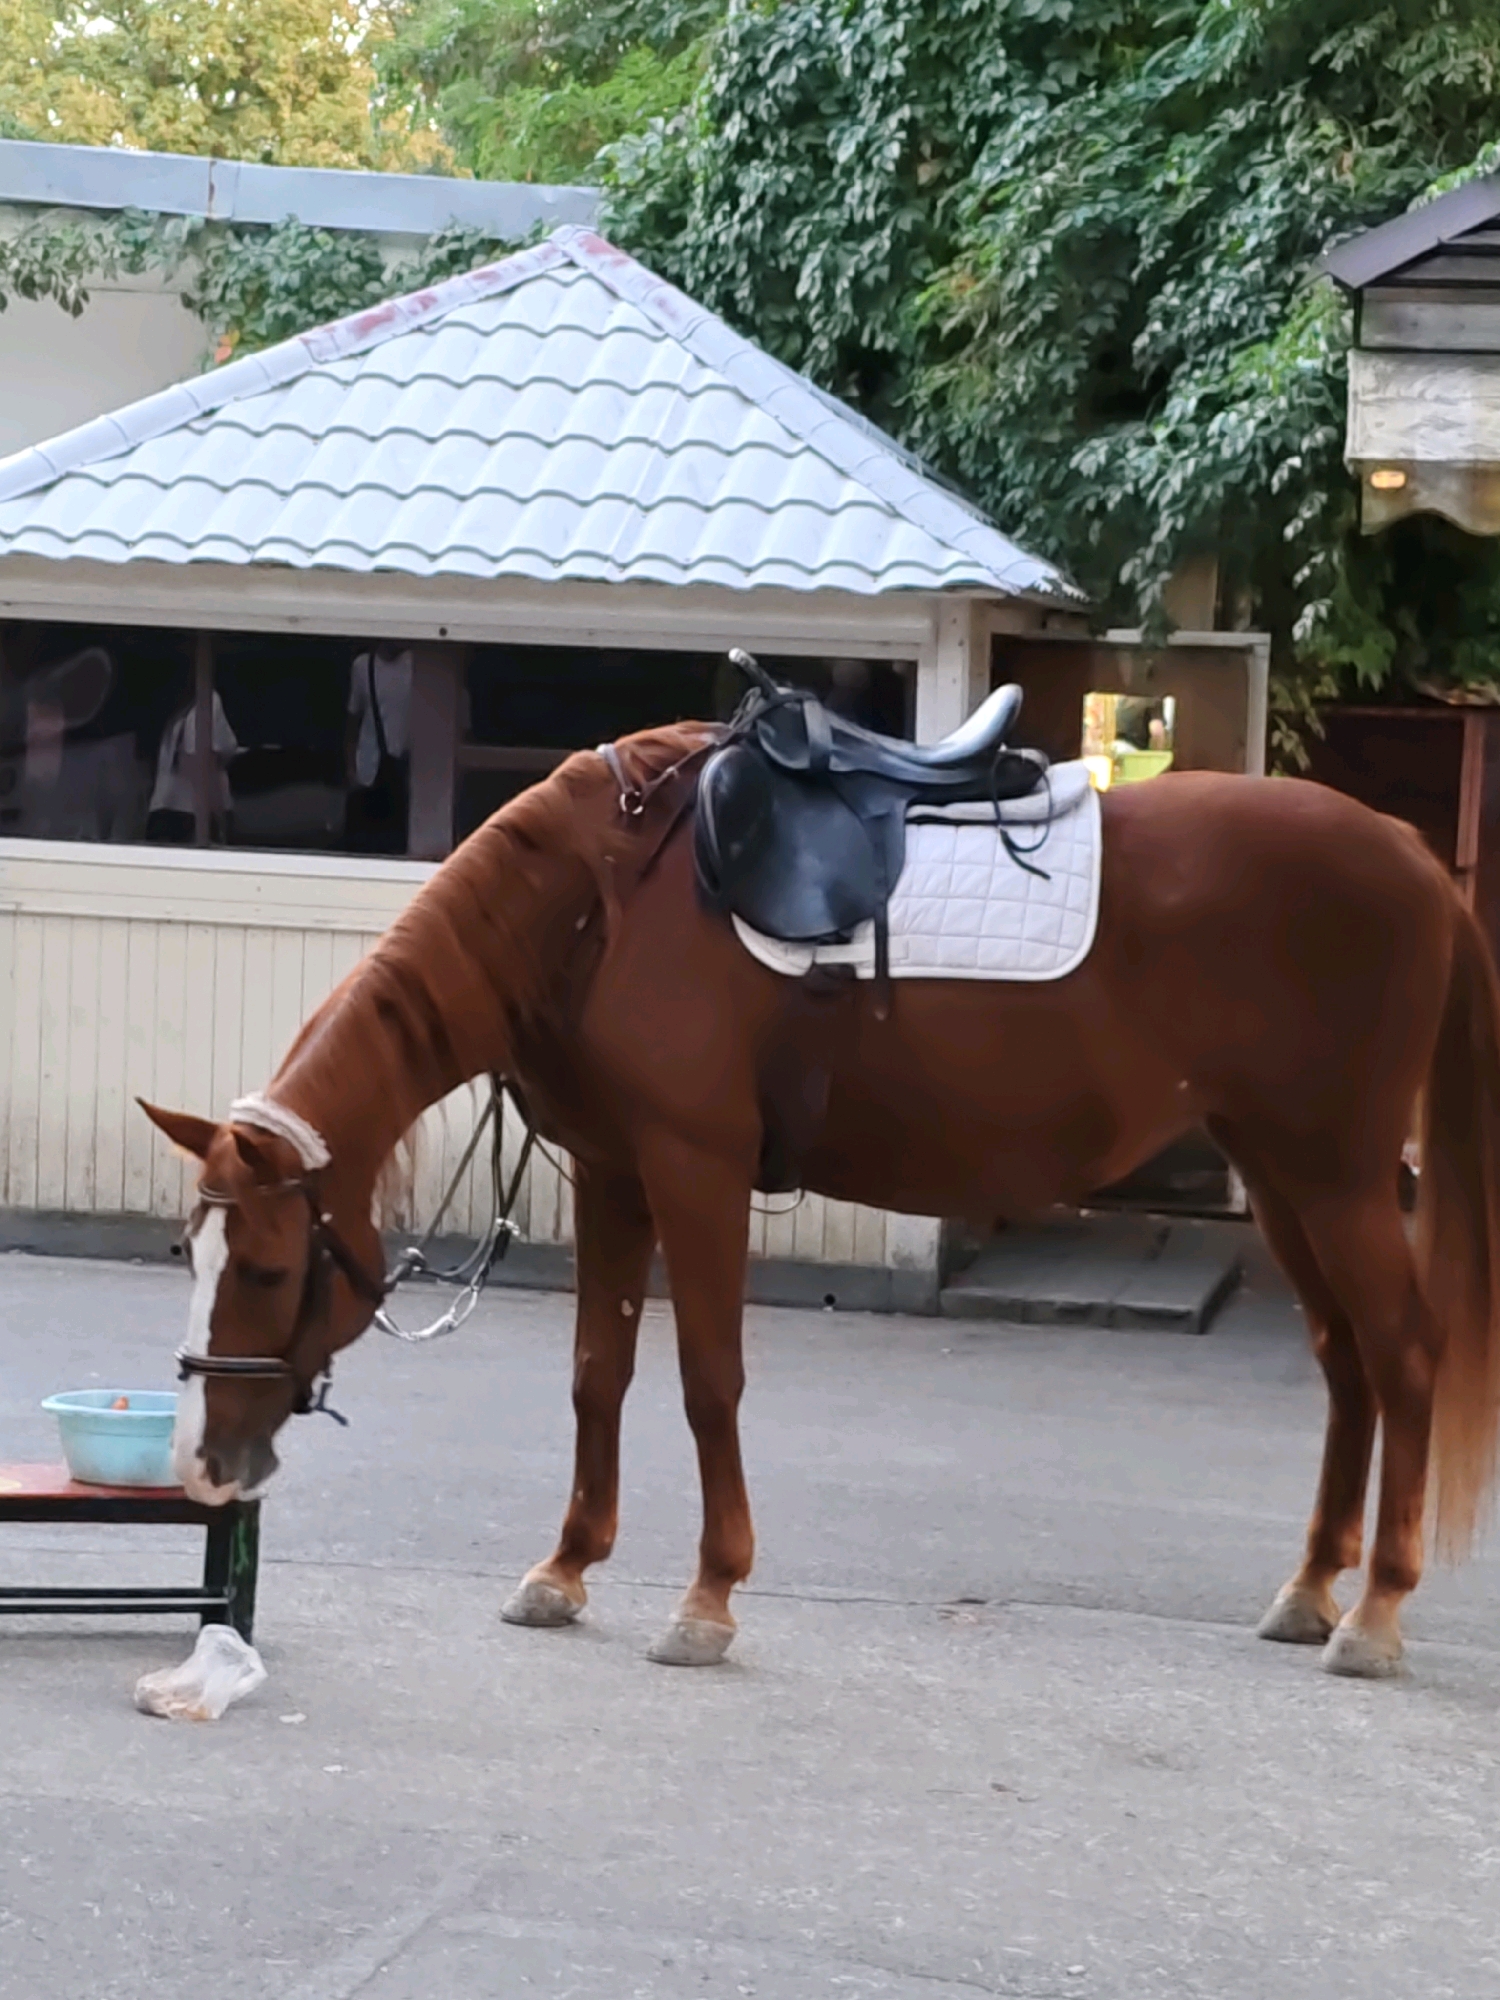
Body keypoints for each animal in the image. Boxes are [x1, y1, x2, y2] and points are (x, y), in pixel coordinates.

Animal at [140, 720, 1500, 1680]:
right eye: (188, 1255)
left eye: (267, 1266)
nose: (201, 1466)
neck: (598, 904)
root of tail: (1413, 859)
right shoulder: (615, 1173)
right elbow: (597, 1375)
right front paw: (567, 1567)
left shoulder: (695, 1165)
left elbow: (707, 1377)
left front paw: (708, 1597)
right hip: (1279, 1173)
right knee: (1346, 1362)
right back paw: (1313, 1588)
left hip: (1334, 1176)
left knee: (1405, 1353)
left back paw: (1375, 1610)